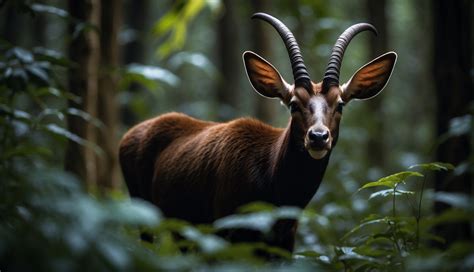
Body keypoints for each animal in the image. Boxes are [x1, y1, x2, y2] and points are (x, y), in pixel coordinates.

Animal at [118, 12, 396, 251]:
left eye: (340, 104)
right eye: (293, 103)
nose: (318, 137)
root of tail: (129, 135)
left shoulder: (285, 242)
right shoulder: (226, 232)